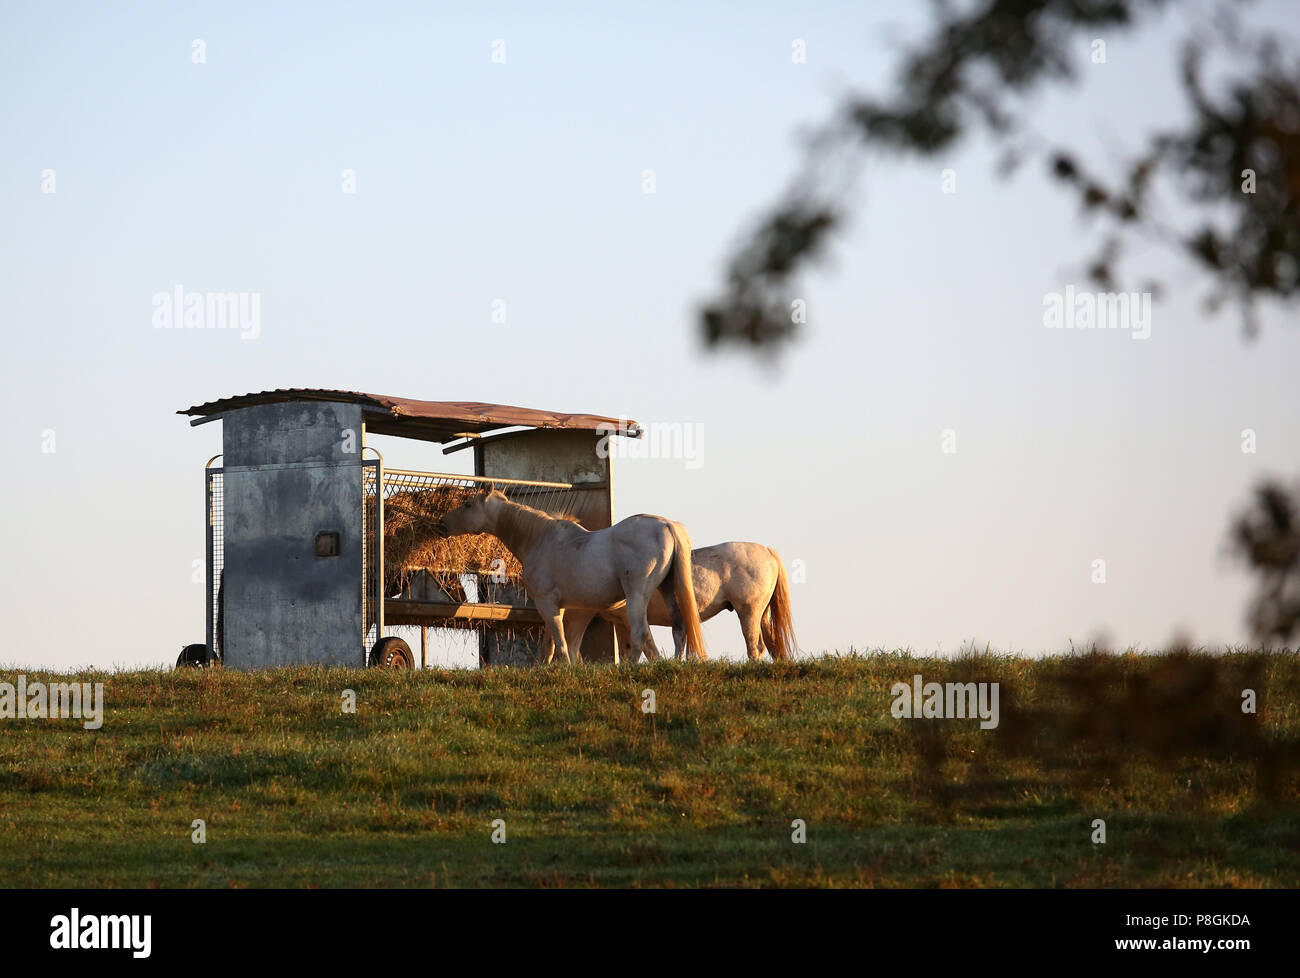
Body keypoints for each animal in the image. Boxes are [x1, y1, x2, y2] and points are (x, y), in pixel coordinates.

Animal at [436, 488, 707, 665]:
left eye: (468, 505)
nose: (442, 524)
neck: (540, 539)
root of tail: (667, 525)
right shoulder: (559, 607)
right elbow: (550, 645)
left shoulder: (547, 604)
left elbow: (560, 642)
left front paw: (565, 669)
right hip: (668, 589)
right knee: (679, 627)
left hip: (637, 595)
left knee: (641, 632)